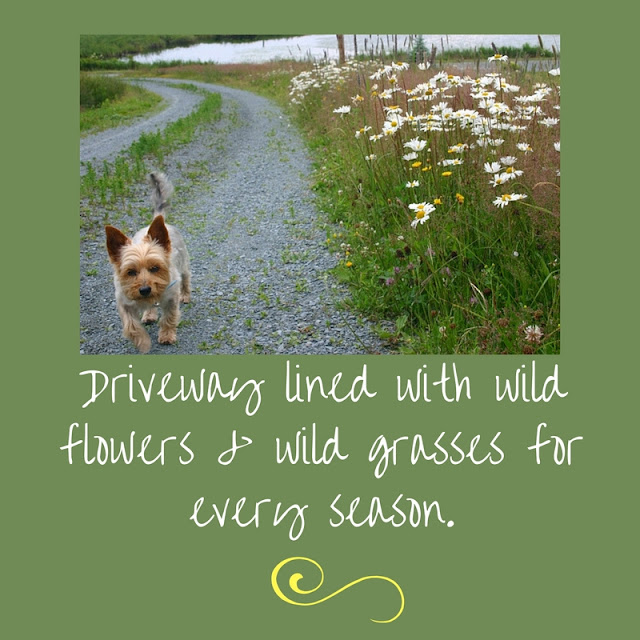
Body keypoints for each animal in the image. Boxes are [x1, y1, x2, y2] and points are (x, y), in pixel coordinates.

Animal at [104, 172, 190, 352]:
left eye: (155, 268)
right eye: (130, 272)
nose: (144, 289)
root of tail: (158, 219)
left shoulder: (171, 298)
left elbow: (169, 317)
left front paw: (166, 336)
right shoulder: (124, 302)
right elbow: (131, 326)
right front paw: (143, 343)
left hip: (183, 263)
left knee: (186, 278)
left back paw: (185, 295)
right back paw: (149, 314)